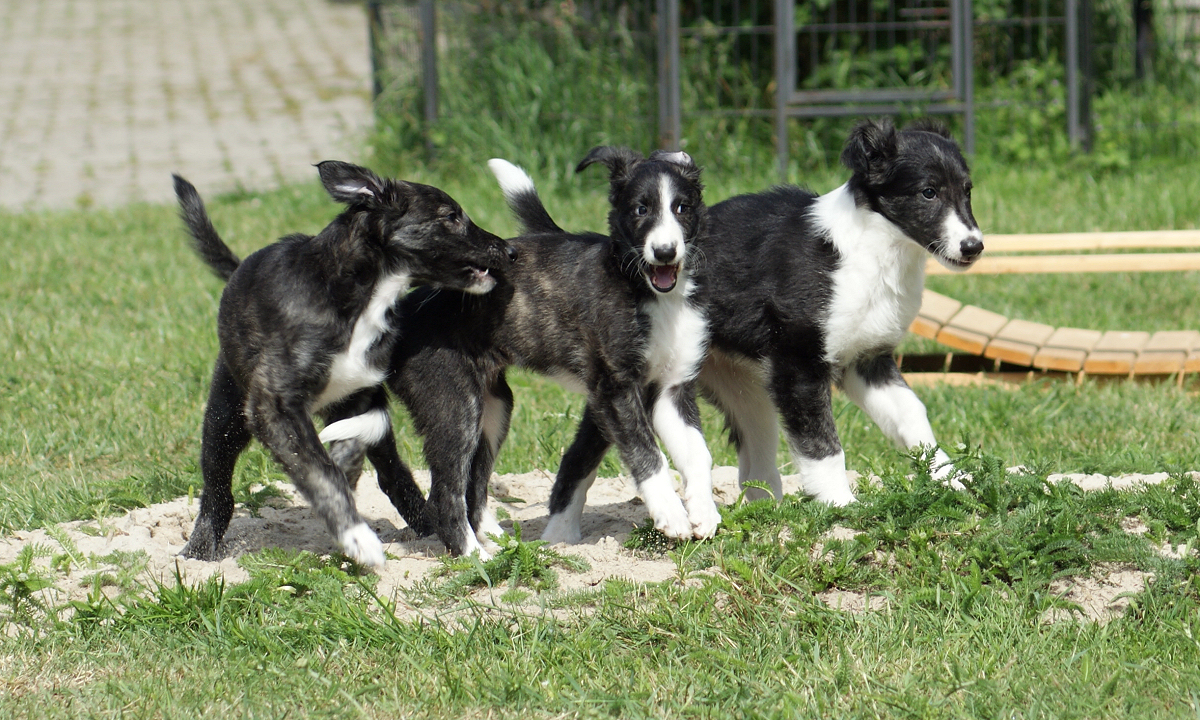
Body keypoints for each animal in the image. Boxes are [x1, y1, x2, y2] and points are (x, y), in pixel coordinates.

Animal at [171, 162, 508, 568]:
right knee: (218, 489)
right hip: (226, 414)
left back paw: (425, 524)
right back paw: (197, 553)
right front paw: (357, 538)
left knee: (392, 474)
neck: (357, 296)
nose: (509, 250)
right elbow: (321, 472)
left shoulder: (358, 392)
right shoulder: (274, 406)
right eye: (451, 216)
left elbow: (347, 453)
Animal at [388, 147, 715, 556]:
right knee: (445, 495)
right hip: (454, 406)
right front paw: (671, 514)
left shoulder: (672, 388)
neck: (642, 287)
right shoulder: (615, 388)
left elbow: (698, 452)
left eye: (682, 208)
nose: (665, 252)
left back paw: (502, 543)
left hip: (494, 409)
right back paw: (476, 557)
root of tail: (402, 312)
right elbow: (646, 452)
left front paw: (703, 511)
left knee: (473, 486)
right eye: (641, 209)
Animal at [696, 118, 984, 506]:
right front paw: (841, 504)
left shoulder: (866, 359)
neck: (875, 252)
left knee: (756, 463)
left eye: (967, 191)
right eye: (928, 193)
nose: (974, 247)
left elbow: (912, 413)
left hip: (742, 387)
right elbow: (822, 443)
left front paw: (951, 478)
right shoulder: (799, 363)